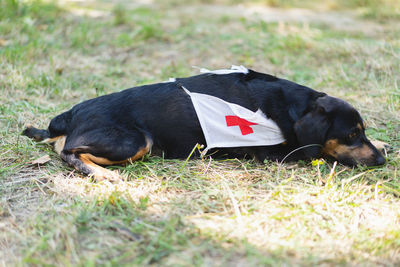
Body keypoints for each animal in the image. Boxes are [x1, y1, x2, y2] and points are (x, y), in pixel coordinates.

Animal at [23, 67, 386, 181]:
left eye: (362, 131)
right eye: (351, 134)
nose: (382, 160)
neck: (293, 107)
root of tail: (70, 114)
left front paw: (383, 142)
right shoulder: (275, 154)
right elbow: (321, 152)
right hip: (135, 141)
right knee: (69, 153)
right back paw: (102, 174)